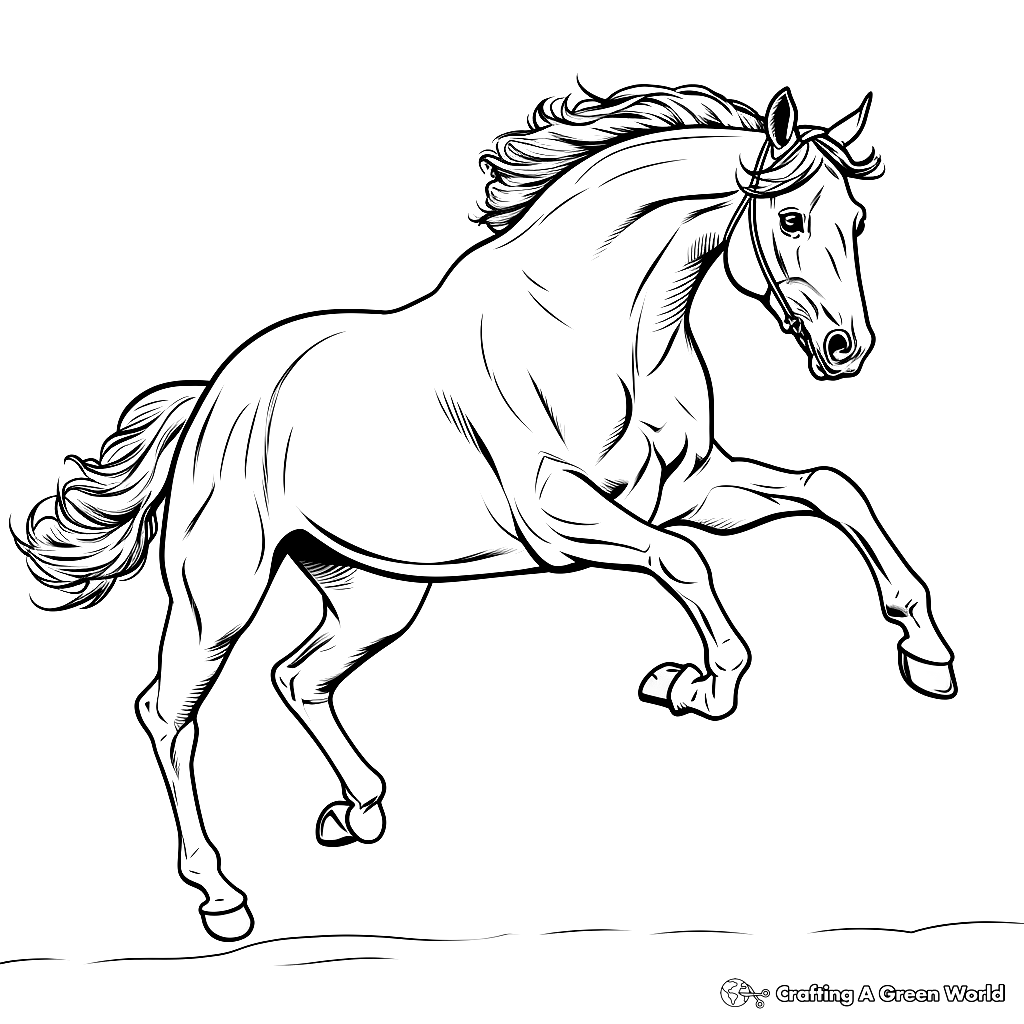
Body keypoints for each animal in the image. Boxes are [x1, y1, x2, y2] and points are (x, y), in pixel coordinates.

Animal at [15, 82, 956, 943]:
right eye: (790, 218)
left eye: (857, 219)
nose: (846, 349)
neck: (603, 331)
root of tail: (214, 396)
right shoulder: (563, 515)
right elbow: (684, 560)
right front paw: (700, 684)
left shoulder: (692, 489)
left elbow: (831, 488)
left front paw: (926, 654)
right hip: (219, 595)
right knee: (168, 713)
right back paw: (222, 896)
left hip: (374, 594)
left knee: (298, 677)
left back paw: (358, 808)